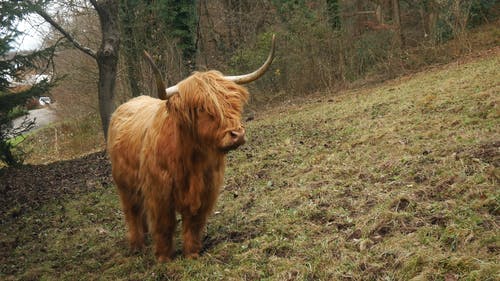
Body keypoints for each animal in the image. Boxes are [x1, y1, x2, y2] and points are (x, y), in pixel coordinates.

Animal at [107, 35, 276, 260]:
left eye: (233, 102)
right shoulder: (159, 193)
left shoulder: (206, 189)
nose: (237, 135)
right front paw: (163, 258)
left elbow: (193, 223)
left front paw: (192, 254)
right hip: (124, 185)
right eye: (203, 108)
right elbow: (164, 225)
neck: (191, 158)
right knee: (132, 211)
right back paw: (137, 245)